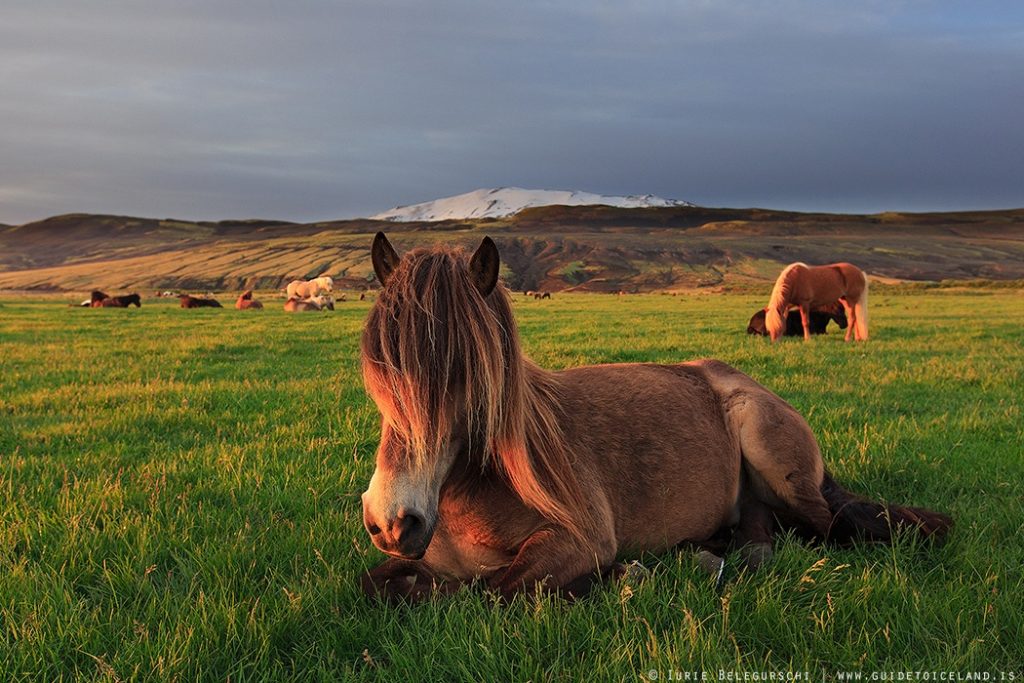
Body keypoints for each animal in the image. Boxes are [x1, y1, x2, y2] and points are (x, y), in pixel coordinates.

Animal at [360, 232, 950, 602]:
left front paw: (623, 575)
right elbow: (382, 585)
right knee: (758, 528)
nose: (393, 520)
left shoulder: (578, 540)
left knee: (825, 528)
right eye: (379, 369)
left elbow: (496, 590)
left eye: (468, 373)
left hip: (772, 454)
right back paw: (709, 553)